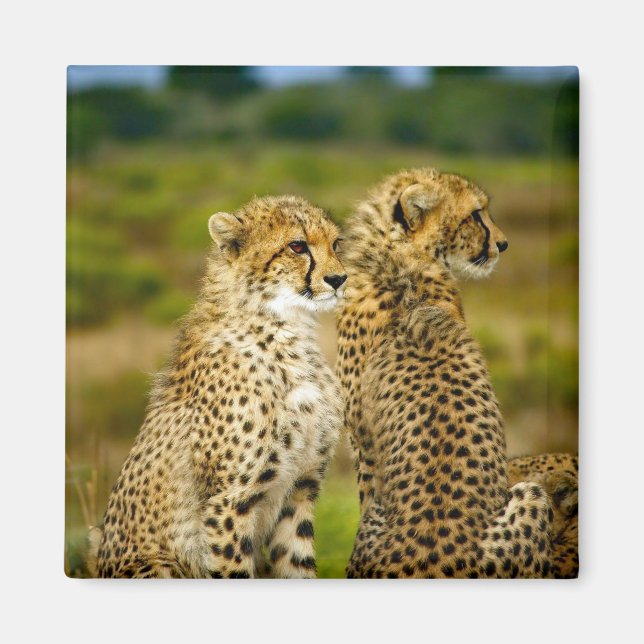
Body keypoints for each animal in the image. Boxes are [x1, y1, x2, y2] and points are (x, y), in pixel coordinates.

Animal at [88, 195, 346, 578]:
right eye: (297, 246)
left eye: (336, 244)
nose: (339, 278)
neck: (287, 329)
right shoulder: (228, 501)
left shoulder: (301, 488)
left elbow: (297, 564)